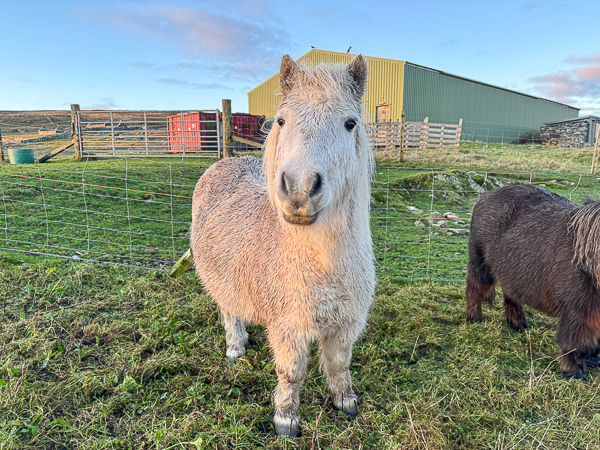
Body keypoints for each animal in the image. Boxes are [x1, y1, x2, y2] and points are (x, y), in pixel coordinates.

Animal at [191, 54, 375, 436]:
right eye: (281, 121)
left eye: (350, 123)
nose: (300, 189)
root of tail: (227, 161)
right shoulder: (288, 328)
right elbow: (291, 372)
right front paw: (286, 419)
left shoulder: (346, 324)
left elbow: (339, 364)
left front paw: (346, 402)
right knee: (228, 310)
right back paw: (236, 347)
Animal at [466, 183, 600, 380]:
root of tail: (486, 195)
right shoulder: (576, 310)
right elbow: (573, 343)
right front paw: (574, 373)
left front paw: (593, 360)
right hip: (481, 265)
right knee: (474, 290)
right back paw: (474, 319)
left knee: (511, 296)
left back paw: (518, 325)